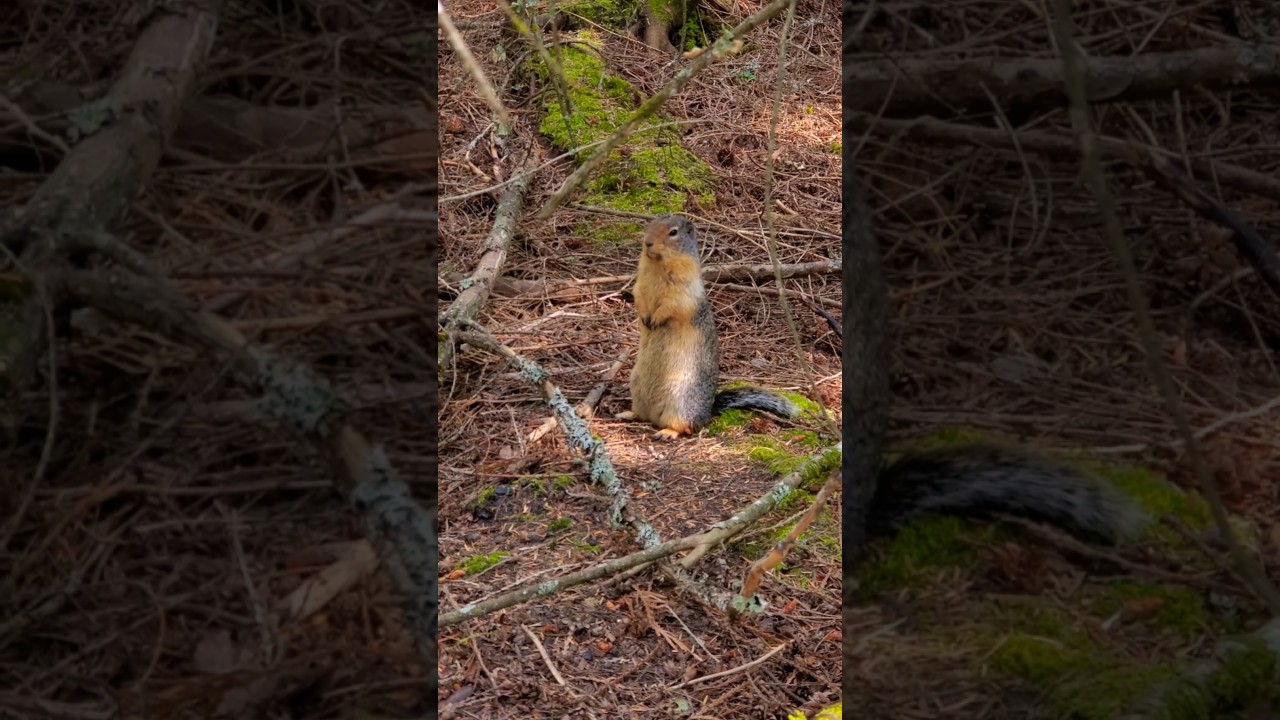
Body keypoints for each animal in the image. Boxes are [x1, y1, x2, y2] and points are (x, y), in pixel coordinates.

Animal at [615, 215, 799, 440]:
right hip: (637, 385)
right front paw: (644, 318)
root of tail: (707, 413)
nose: (647, 242)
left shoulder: (682, 292)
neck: (658, 266)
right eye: (650, 225)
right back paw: (627, 414)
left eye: (673, 232)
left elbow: (672, 306)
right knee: (643, 415)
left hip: (679, 398)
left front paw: (656, 320)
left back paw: (667, 432)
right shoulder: (640, 284)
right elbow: (639, 298)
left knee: (685, 427)